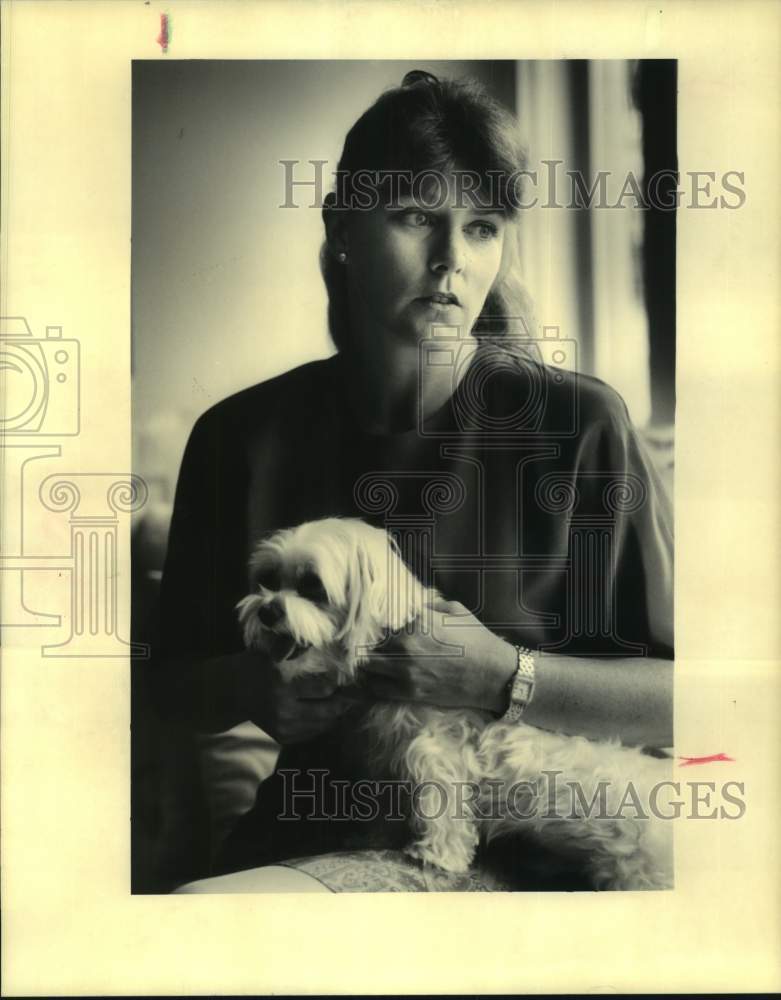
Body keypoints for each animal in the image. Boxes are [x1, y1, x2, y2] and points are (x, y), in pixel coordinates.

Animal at [238, 520, 672, 888]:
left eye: (312, 586)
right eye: (269, 579)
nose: (268, 610)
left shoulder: (435, 747)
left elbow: (441, 800)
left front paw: (439, 855)